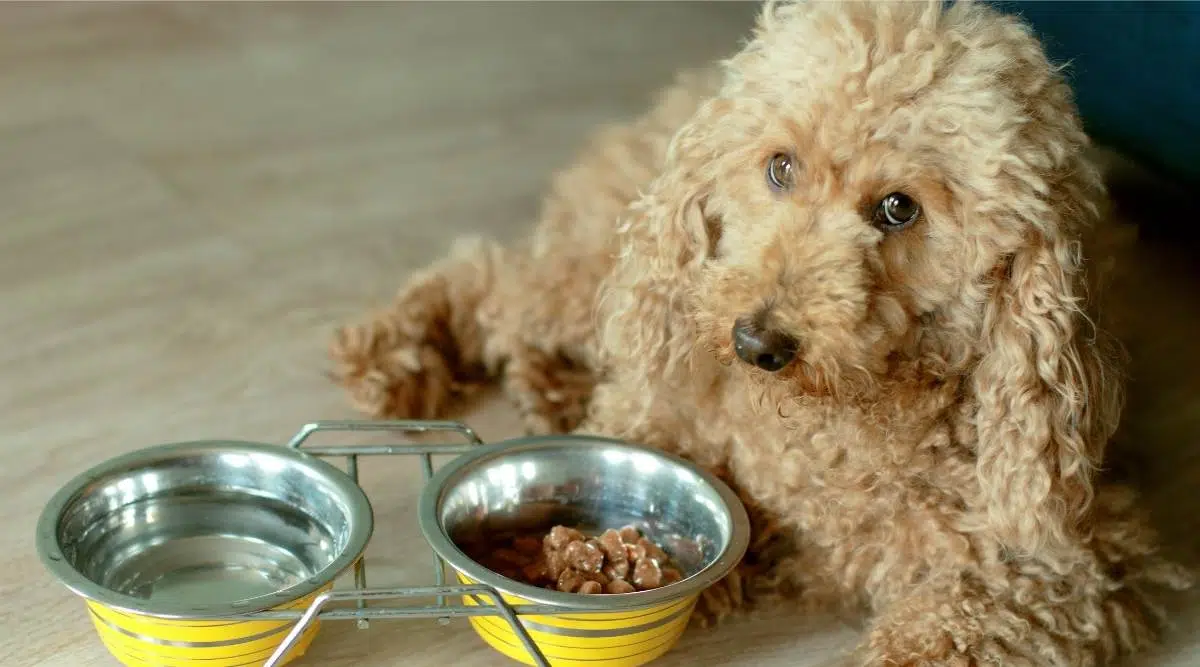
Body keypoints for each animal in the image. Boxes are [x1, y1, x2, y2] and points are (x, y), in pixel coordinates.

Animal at [328, 2, 1190, 662]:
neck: (833, 419)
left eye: (899, 208)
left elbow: (954, 625)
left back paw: (547, 385)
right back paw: (395, 351)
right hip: (615, 274)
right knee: (498, 280)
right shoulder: (657, 412)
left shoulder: (1066, 565)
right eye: (780, 167)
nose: (756, 344)